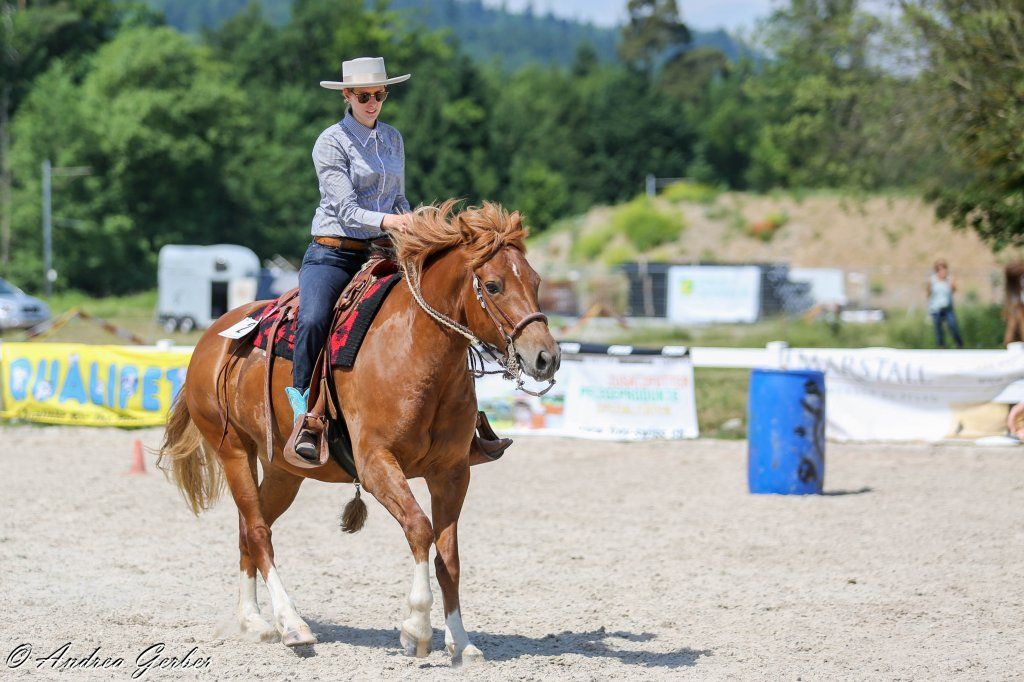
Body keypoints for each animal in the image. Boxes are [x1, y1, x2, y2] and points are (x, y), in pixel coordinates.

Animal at [157, 201, 560, 665]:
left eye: (535, 281)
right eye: (492, 286)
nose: (546, 357)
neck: (412, 349)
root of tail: (212, 338)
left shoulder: (453, 472)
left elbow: (449, 556)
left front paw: (461, 642)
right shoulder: (376, 464)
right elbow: (420, 529)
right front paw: (416, 629)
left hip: (283, 470)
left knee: (248, 530)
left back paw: (254, 621)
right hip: (234, 451)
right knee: (258, 532)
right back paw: (292, 625)